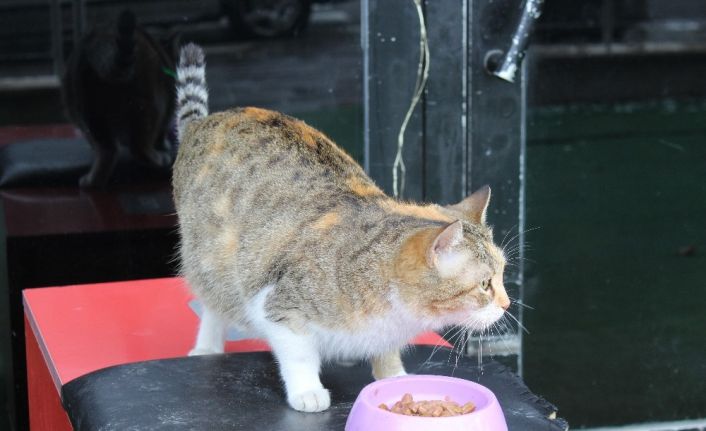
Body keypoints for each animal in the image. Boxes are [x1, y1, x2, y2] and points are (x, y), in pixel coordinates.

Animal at [61, 9, 176, 187]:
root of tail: (101, 38)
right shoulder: (168, 105)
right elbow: (161, 132)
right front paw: (164, 145)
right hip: (149, 102)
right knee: (139, 147)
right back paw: (158, 159)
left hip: (86, 108)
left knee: (107, 150)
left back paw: (93, 181)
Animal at [173, 44, 508, 416]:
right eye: (484, 284)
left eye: (503, 274)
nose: (507, 305)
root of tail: (203, 121)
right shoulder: (278, 306)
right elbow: (299, 354)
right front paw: (308, 390)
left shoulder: (384, 331)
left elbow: (386, 352)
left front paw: (394, 377)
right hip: (211, 263)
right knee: (213, 305)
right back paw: (207, 346)